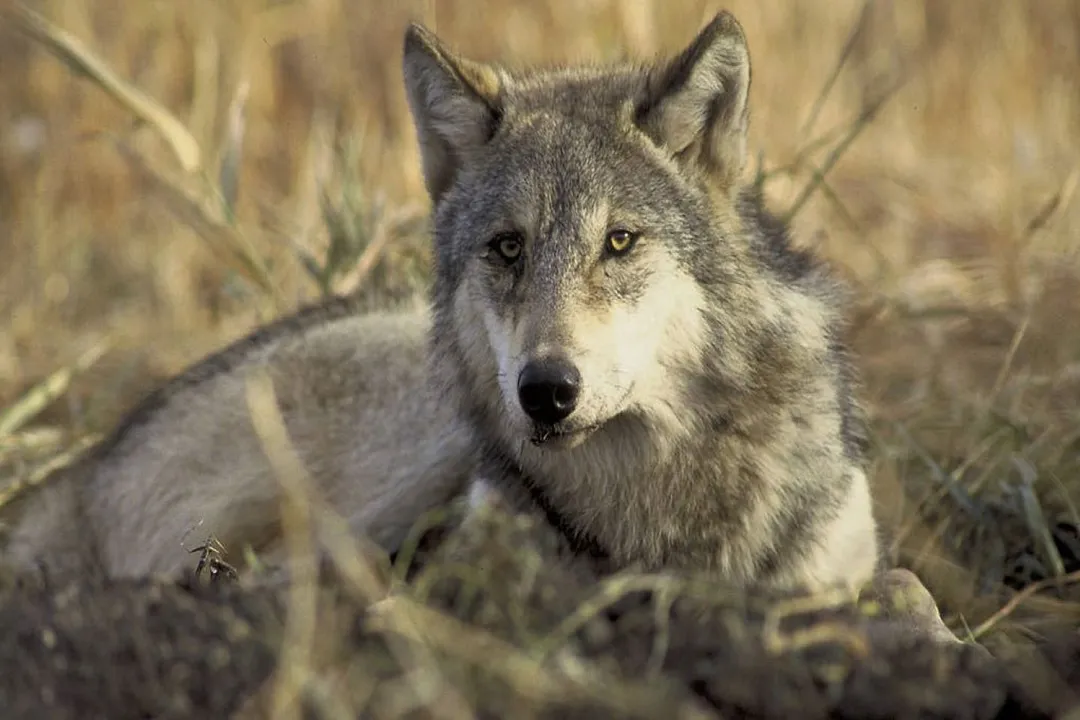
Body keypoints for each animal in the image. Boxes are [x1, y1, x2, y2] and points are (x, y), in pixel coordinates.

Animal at [3, 11, 885, 597]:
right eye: (508, 247)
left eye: (620, 242)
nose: (546, 391)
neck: (654, 505)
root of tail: (87, 468)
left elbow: (897, 590)